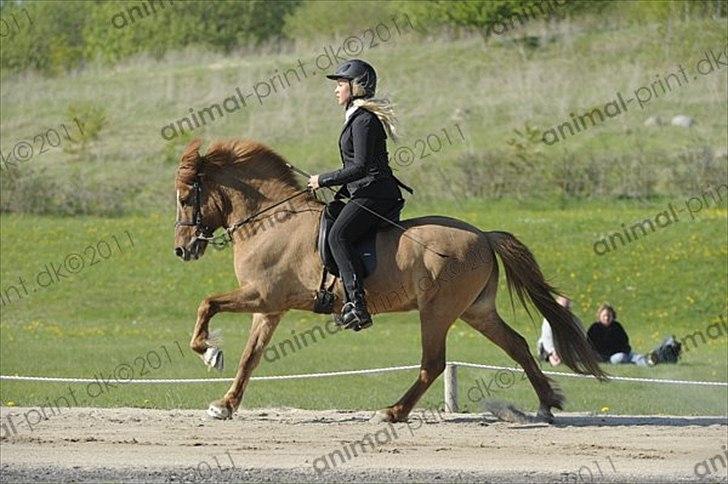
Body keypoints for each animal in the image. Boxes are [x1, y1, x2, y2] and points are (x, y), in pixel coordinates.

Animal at [173, 138, 604, 422]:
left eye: (184, 198)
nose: (181, 250)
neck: (272, 220)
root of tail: (483, 235)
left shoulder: (262, 296)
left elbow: (207, 303)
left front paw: (209, 352)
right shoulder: (270, 308)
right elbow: (251, 357)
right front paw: (225, 403)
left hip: (437, 312)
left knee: (434, 363)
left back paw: (393, 412)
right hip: (476, 311)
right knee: (516, 345)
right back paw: (547, 403)